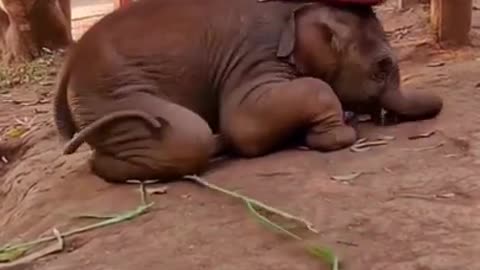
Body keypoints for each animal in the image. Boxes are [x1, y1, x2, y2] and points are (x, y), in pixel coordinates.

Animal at [53, 0, 442, 184]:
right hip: (110, 93)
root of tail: (69, 63)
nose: (439, 105)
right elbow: (245, 122)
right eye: (382, 67)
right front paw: (338, 135)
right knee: (188, 136)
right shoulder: (257, 52)